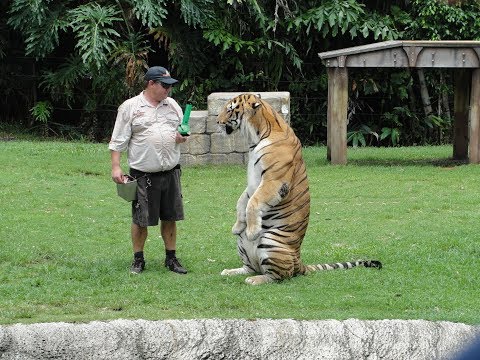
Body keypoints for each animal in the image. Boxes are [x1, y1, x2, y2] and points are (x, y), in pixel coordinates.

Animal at [217, 94, 382, 286]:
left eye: (229, 110)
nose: (217, 121)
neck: (254, 138)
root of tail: (299, 259)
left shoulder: (273, 181)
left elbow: (253, 202)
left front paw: (252, 231)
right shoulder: (253, 184)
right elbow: (242, 200)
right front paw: (237, 226)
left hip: (270, 242)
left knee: (280, 275)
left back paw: (255, 279)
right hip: (243, 244)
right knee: (251, 267)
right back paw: (231, 271)